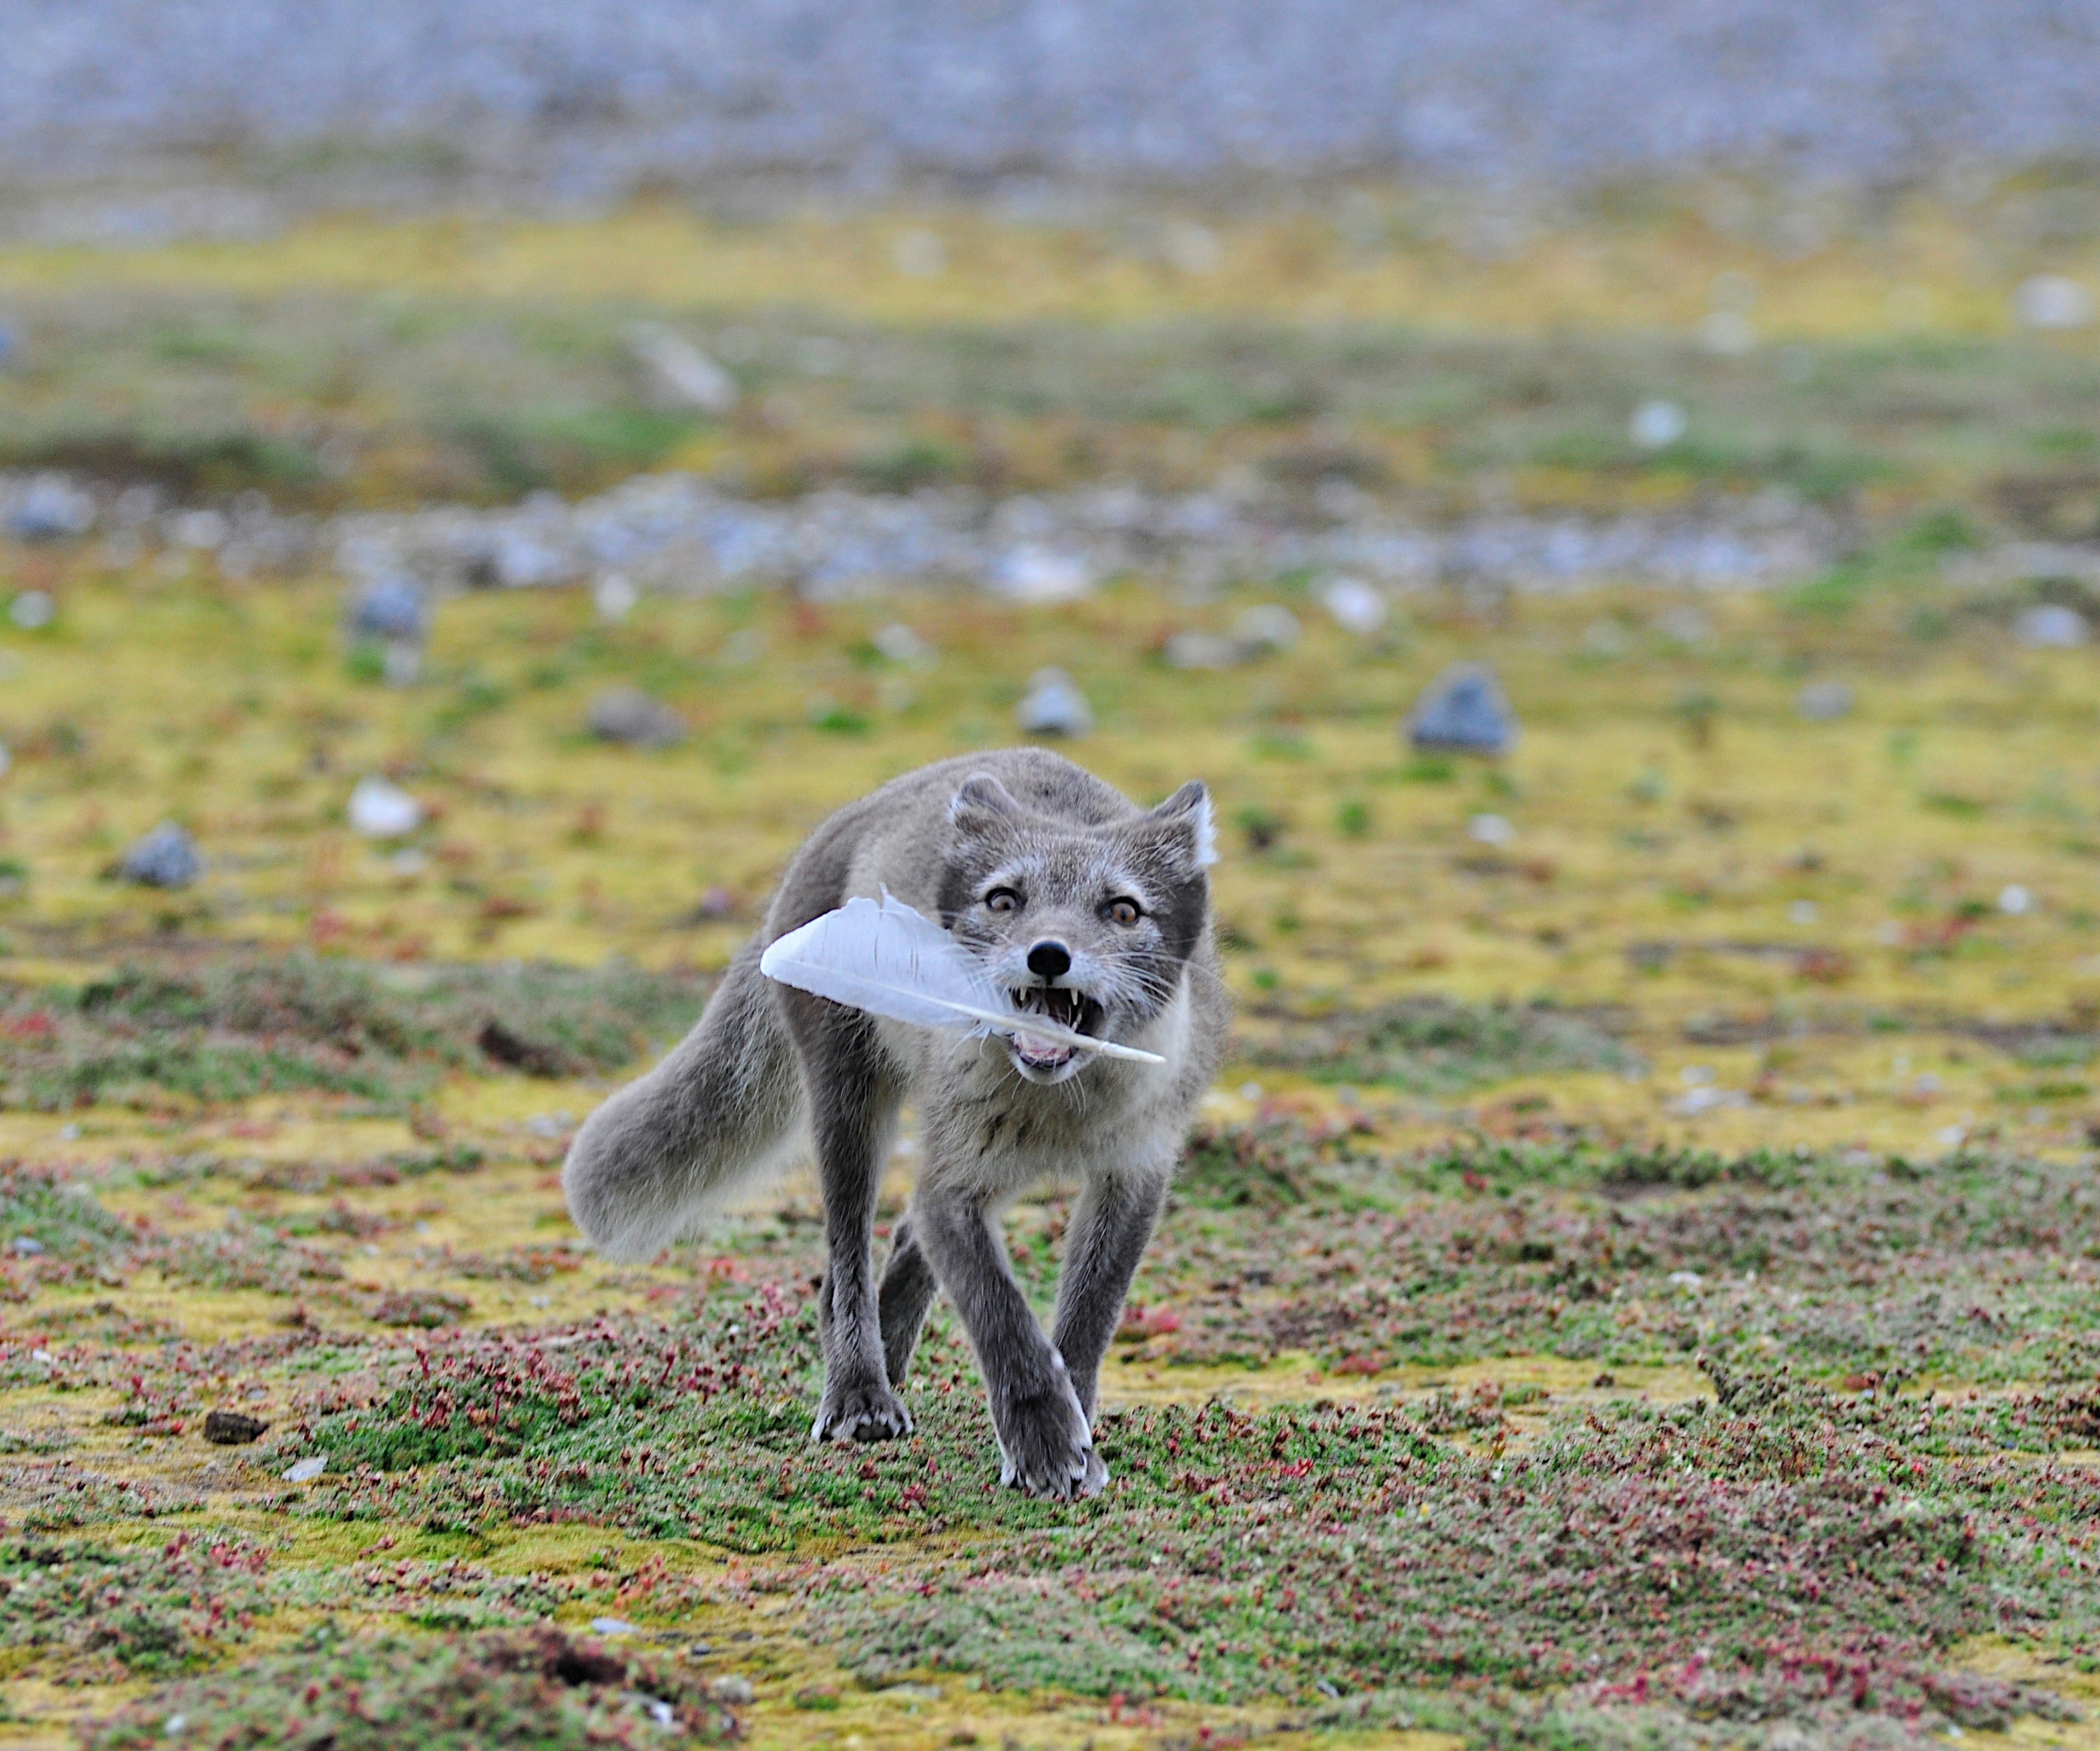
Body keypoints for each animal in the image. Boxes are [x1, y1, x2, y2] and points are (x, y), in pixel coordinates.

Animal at [562, 749, 1228, 1499]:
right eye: (1004, 900)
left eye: (1121, 910)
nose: (1049, 955)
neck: (1064, 1107)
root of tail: (851, 814)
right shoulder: (953, 1183)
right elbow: (1000, 1314)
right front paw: (1045, 1441)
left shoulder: (1133, 1174)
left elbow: (1087, 1321)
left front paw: (1076, 1429)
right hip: (851, 1110)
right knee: (841, 1276)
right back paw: (860, 1392)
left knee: (904, 1239)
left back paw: (893, 1359)